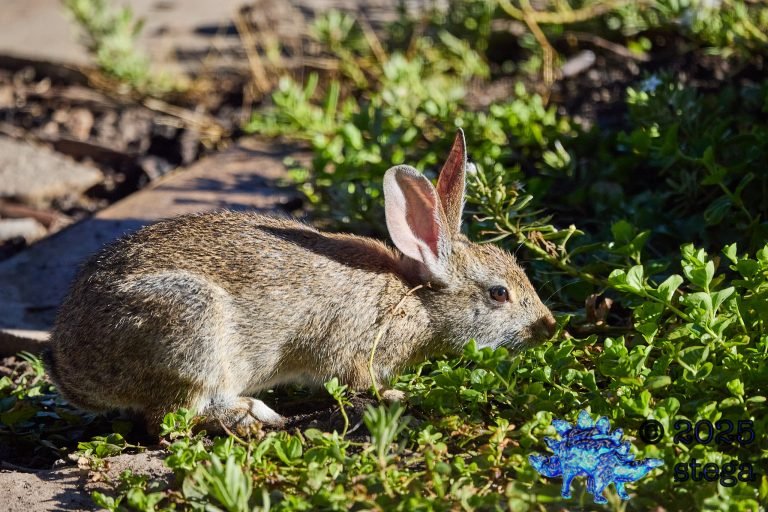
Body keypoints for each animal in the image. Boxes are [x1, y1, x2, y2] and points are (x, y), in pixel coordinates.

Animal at [44, 130, 556, 435]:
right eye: (499, 294)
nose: (548, 327)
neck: (414, 300)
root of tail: (71, 370)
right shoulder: (354, 350)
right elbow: (359, 381)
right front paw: (396, 397)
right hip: (188, 330)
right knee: (170, 418)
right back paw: (255, 415)